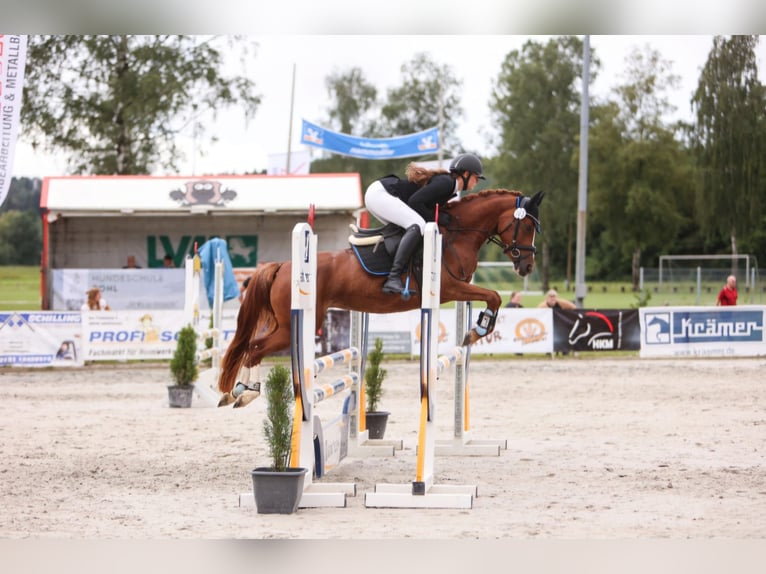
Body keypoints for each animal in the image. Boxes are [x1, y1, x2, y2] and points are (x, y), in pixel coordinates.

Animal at [216, 190, 544, 410]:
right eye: (527, 227)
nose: (527, 267)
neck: (456, 236)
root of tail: (283, 266)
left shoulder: (457, 288)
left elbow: (492, 297)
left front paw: (475, 330)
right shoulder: (451, 288)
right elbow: (494, 297)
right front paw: (477, 330)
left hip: (282, 323)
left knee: (249, 345)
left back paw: (234, 392)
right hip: (290, 327)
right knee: (255, 347)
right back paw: (247, 392)